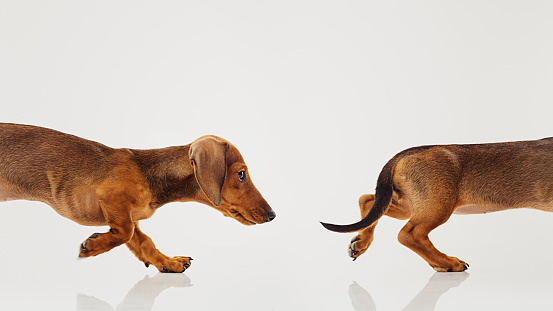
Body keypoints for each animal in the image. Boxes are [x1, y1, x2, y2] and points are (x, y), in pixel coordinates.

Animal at [0, 123, 274, 274]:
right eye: (241, 174)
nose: (272, 215)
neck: (151, 175)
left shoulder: (130, 215)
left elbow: (143, 242)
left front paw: (168, 263)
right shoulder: (111, 200)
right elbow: (125, 233)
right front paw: (93, 247)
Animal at [322, 139, 552, 272]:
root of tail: (406, 154)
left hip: (408, 204)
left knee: (367, 199)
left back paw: (360, 242)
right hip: (437, 206)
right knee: (408, 234)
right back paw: (448, 263)